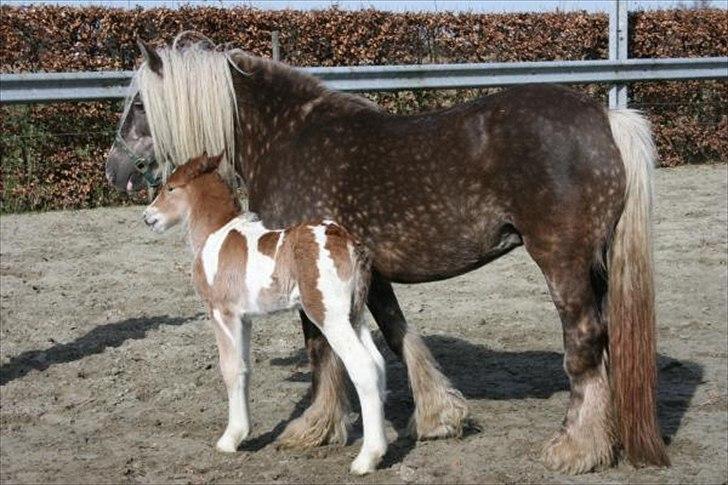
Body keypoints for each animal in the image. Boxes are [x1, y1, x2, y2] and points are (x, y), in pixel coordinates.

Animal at [141, 152, 386, 472]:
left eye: (170, 188)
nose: (148, 217)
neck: (215, 235)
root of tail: (349, 243)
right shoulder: (243, 319)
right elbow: (245, 368)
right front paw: (242, 432)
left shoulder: (221, 313)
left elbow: (230, 368)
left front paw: (229, 440)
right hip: (354, 316)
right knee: (379, 364)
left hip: (330, 317)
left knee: (364, 368)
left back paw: (367, 458)